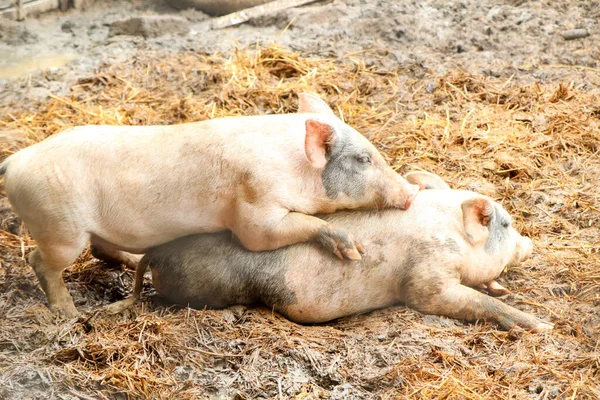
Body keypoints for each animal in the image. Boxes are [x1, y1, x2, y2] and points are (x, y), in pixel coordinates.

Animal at [0, 92, 420, 318]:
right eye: (363, 159)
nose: (411, 192)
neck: (295, 169)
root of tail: (16, 161)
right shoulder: (254, 208)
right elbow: (264, 234)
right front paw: (353, 251)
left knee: (104, 250)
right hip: (58, 226)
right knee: (40, 262)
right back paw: (71, 314)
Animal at [122, 172, 552, 332]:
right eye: (506, 225)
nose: (532, 243)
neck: (450, 233)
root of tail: (155, 254)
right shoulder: (427, 274)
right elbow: (444, 297)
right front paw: (542, 326)